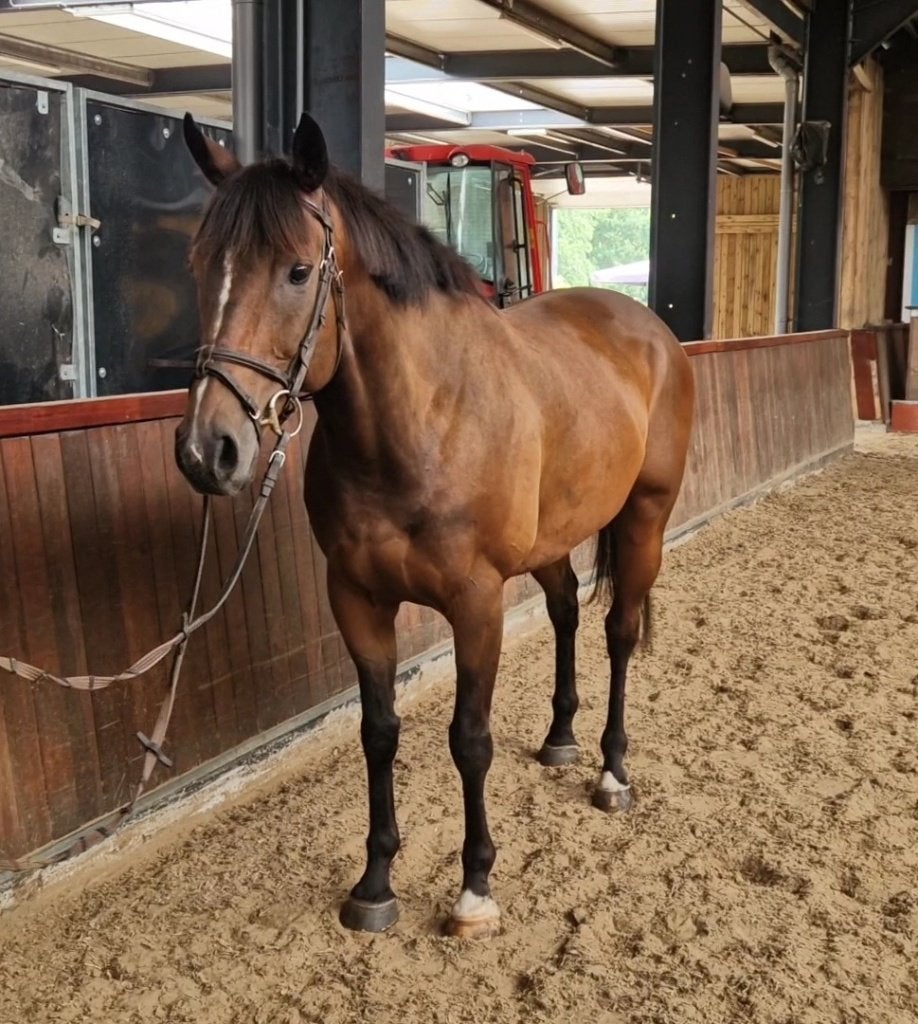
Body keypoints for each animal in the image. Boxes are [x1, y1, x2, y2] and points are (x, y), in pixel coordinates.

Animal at [175, 112, 694, 939]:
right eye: (200, 263)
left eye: (297, 271)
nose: (207, 449)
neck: (421, 422)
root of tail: (645, 328)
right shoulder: (357, 600)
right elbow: (379, 732)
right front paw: (375, 881)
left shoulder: (475, 604)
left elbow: (469, 740)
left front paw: (474, 887)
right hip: (551, 541)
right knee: (565, 613)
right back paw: (560, 739)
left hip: (645, 518)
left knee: (619, 631)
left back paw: (613, 772)